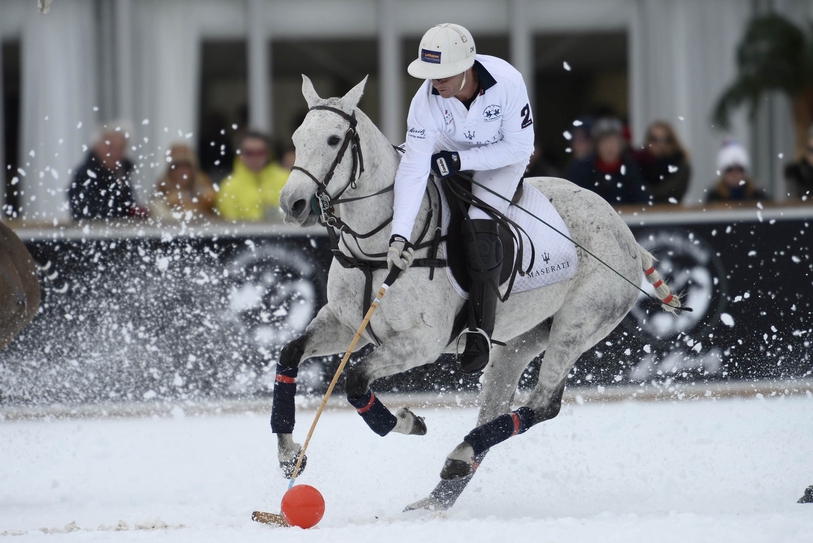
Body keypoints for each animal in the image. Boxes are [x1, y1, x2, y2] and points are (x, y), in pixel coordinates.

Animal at [270, 75, 676, 510]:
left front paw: (406, 422)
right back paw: (439, 495)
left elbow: (356, 380)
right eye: (296, 138)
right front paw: (289, 455)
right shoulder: (346, 325)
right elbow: (290, 353)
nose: (292, 204)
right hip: (521, 341)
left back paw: (458, 457)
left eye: (333, 139)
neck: (377, 243)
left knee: (544, 402)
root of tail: (626, 235)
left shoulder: (423, 341)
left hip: (578, 324)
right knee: (500, 406)